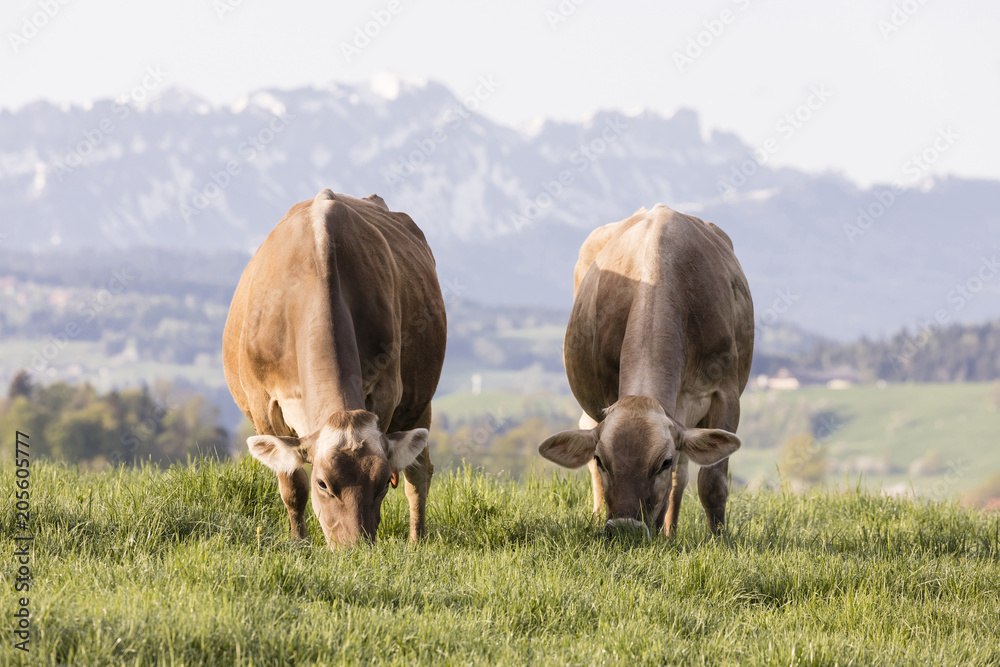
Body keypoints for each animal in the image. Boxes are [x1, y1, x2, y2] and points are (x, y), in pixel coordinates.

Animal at [227, 188, 450, 548]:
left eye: (380, 484)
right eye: (323, 484)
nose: (355, 548)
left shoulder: (387, 391)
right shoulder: (263, 401)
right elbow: (292, 483)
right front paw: (299, 543)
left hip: (420, 402)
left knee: (419, 473)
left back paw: (417, 541)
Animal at [540, 206, 752, 540]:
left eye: (662, 463)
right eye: (601, 459)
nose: (626, 528)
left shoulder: (725, 393)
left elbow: (712, 481)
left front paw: (719, 540)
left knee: (683, 476)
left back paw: (670, 533)